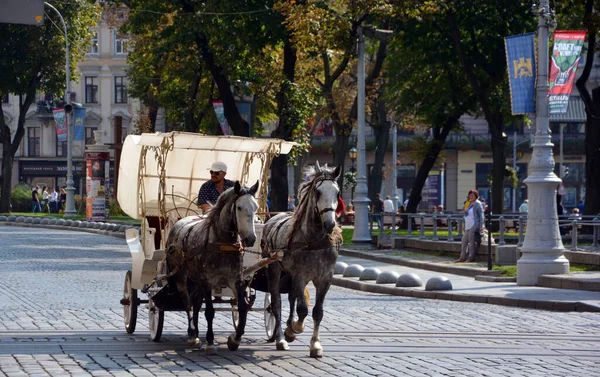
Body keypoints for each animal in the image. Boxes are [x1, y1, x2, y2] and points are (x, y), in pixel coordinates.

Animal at [164, 181, 258, 354]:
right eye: (239, 207)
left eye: (255, 207)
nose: (250, 239)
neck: (222, 242)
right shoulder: (208, 281)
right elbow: (209, 311)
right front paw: (209, 342)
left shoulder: (235, 280)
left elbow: (242, 308)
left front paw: (235, 339)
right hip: (180, 274)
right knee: (187, 302)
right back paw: (192, 335)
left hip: (196, 279)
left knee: (196, 303)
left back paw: (196, 333)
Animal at [258, 161, 340, 356]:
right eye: (318, 192)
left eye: (338, 192)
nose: (330, 224)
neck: (314, 240)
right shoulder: (300, 275)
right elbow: (302, 309)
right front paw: (293, 329)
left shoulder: (325, 279)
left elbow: (317, 312)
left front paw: (315, 344)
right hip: (274, 269)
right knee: (276, 303)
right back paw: (281, 338)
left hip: (288, 275)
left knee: (291, 297)